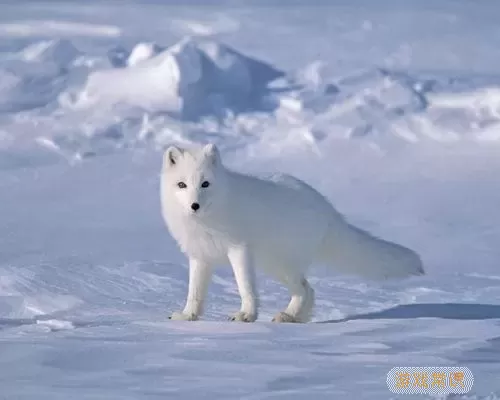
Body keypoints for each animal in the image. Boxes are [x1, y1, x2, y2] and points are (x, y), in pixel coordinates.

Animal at [159, 143, 422, 322]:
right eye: (182, 184)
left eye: (205, 184)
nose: (195, 205)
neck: (207, 222)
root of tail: (327, 208)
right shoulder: (199, 256)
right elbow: (194, 292)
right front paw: (188, 316)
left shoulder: (239, 250)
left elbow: (245, 287)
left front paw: (246, 315)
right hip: (274, 265)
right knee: (309, 290)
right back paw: (295, 318)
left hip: (280, 264)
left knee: (306, 289)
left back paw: (289, 316)